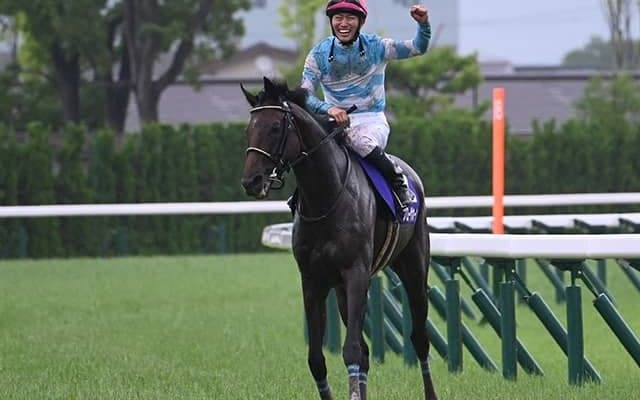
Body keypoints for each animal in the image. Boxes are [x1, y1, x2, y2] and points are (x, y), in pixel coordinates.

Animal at [240, 77, 437, 400]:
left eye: (276, 127)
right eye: (249, 128)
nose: (252, 181)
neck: (325, 197)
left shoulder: (356, 273)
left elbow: (352, 350)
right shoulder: (313, 280)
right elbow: (318, 359)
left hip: (414, 269)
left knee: (419, 339)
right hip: (343, 289)